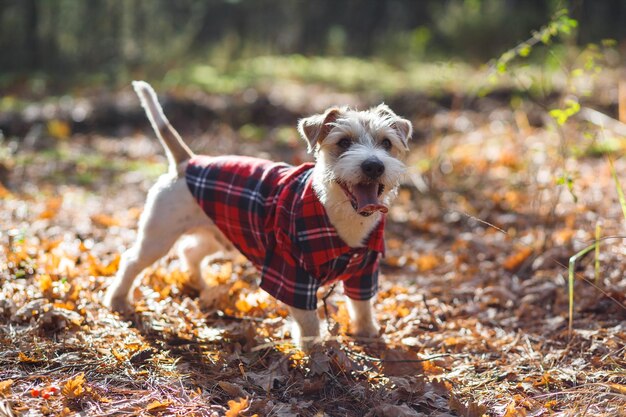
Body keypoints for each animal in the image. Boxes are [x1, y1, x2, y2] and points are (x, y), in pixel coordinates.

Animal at [102, 81, 410, 348]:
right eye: (344, 142)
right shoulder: (291, 273)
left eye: (386, 143)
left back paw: (202, 286)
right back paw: (118, 300)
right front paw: (316, 353)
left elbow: (362, 304)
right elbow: (308, 321)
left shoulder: (365, 268)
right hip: (158, 237)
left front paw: (367, 332)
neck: (338, 213)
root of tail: (188, 161)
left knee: (190, 251)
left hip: (217, 234)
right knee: (131, 261)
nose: (373, 166)